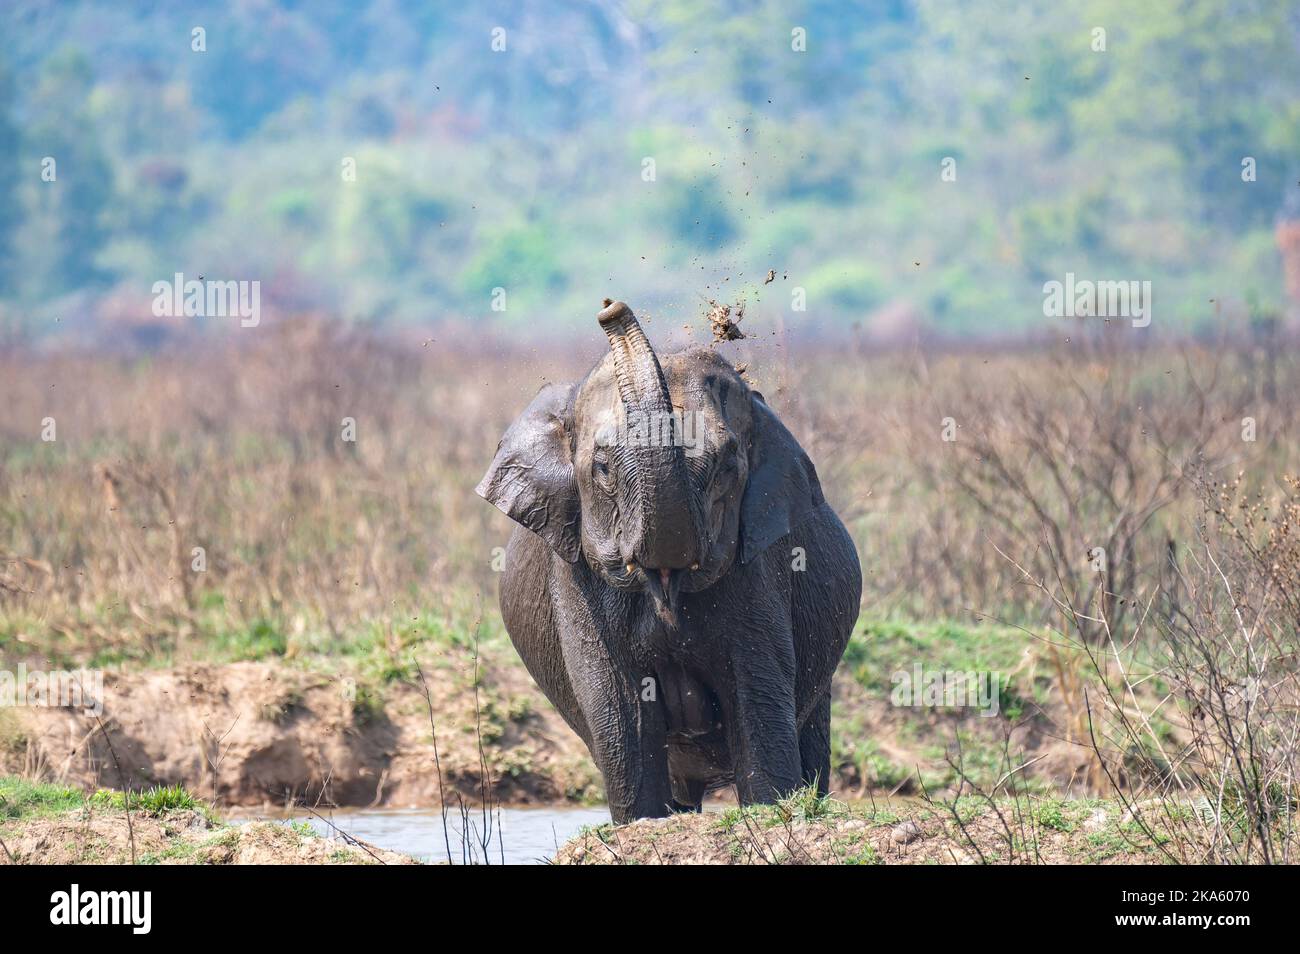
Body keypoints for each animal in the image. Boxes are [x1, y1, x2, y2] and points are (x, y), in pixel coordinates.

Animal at [478, 300, 863, 821]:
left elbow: (757, 693)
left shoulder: (758, 568)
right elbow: (619, 706)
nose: (610, 306)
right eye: (602, 467)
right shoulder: (576, 580)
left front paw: (771, 811)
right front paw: (643, 821)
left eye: (726, 465)